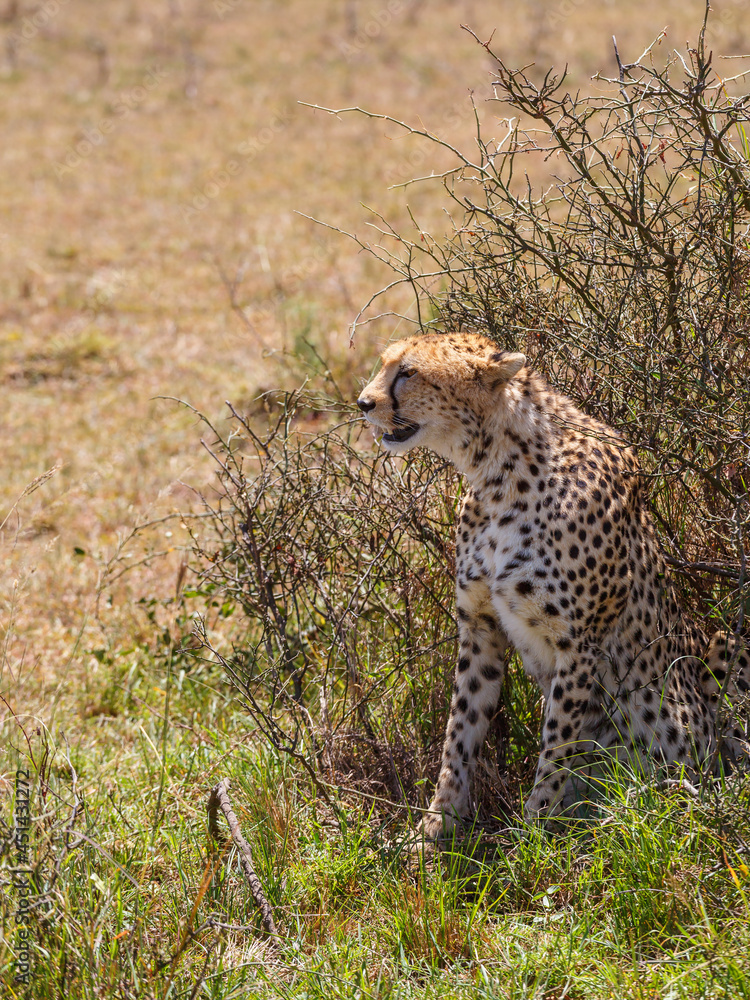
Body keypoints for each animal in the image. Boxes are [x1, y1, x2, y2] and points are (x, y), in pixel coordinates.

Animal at [357, 331, 749, 837]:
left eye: (408, 372)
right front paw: (436, 829)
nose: (363, 403)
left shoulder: (578, 642)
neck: (497, 472)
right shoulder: (480, 628)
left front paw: (533, 834)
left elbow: (557, 744)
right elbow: (460, 732)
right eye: (386, 365)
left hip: (727, 648)